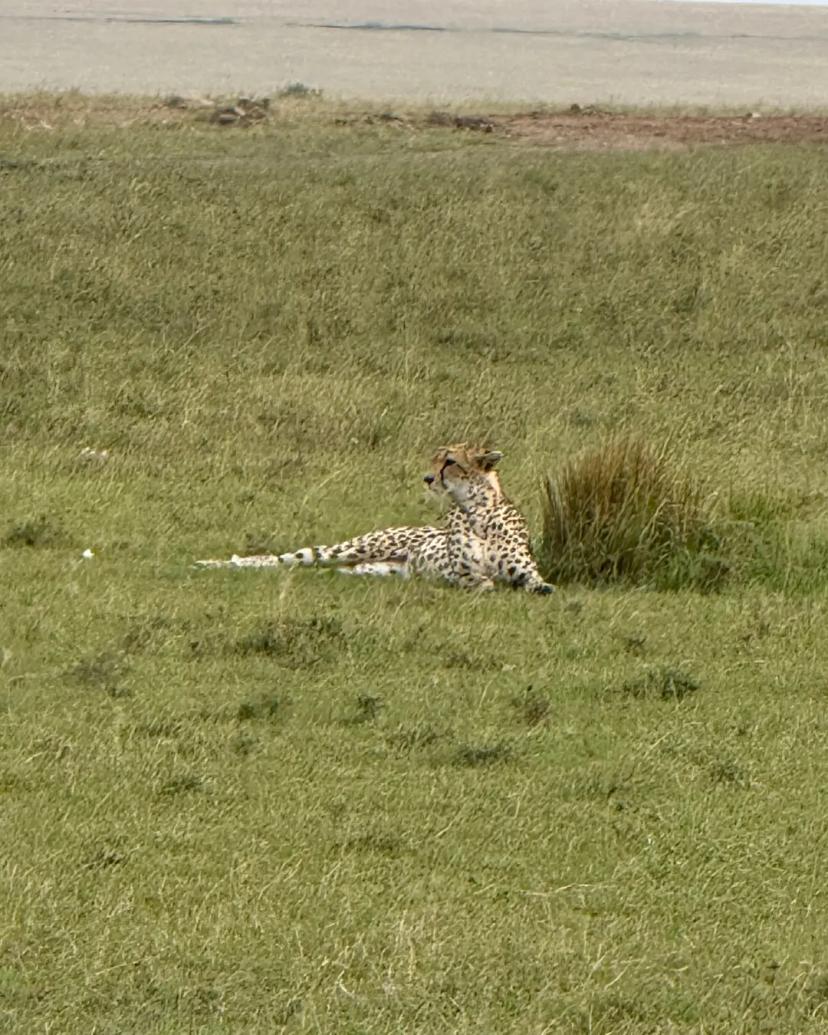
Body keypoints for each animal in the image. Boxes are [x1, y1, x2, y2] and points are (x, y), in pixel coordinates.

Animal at [196, 443, 554, 594]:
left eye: (450, 461)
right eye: (434, 458)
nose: (427, 478)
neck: (476, 509)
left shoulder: (527, 572)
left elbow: (537, 582)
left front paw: (538, 588)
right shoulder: (460, 574)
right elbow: (481, 582)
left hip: (367, 568)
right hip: (348, 549)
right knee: (280, 559)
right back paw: (209, 564)